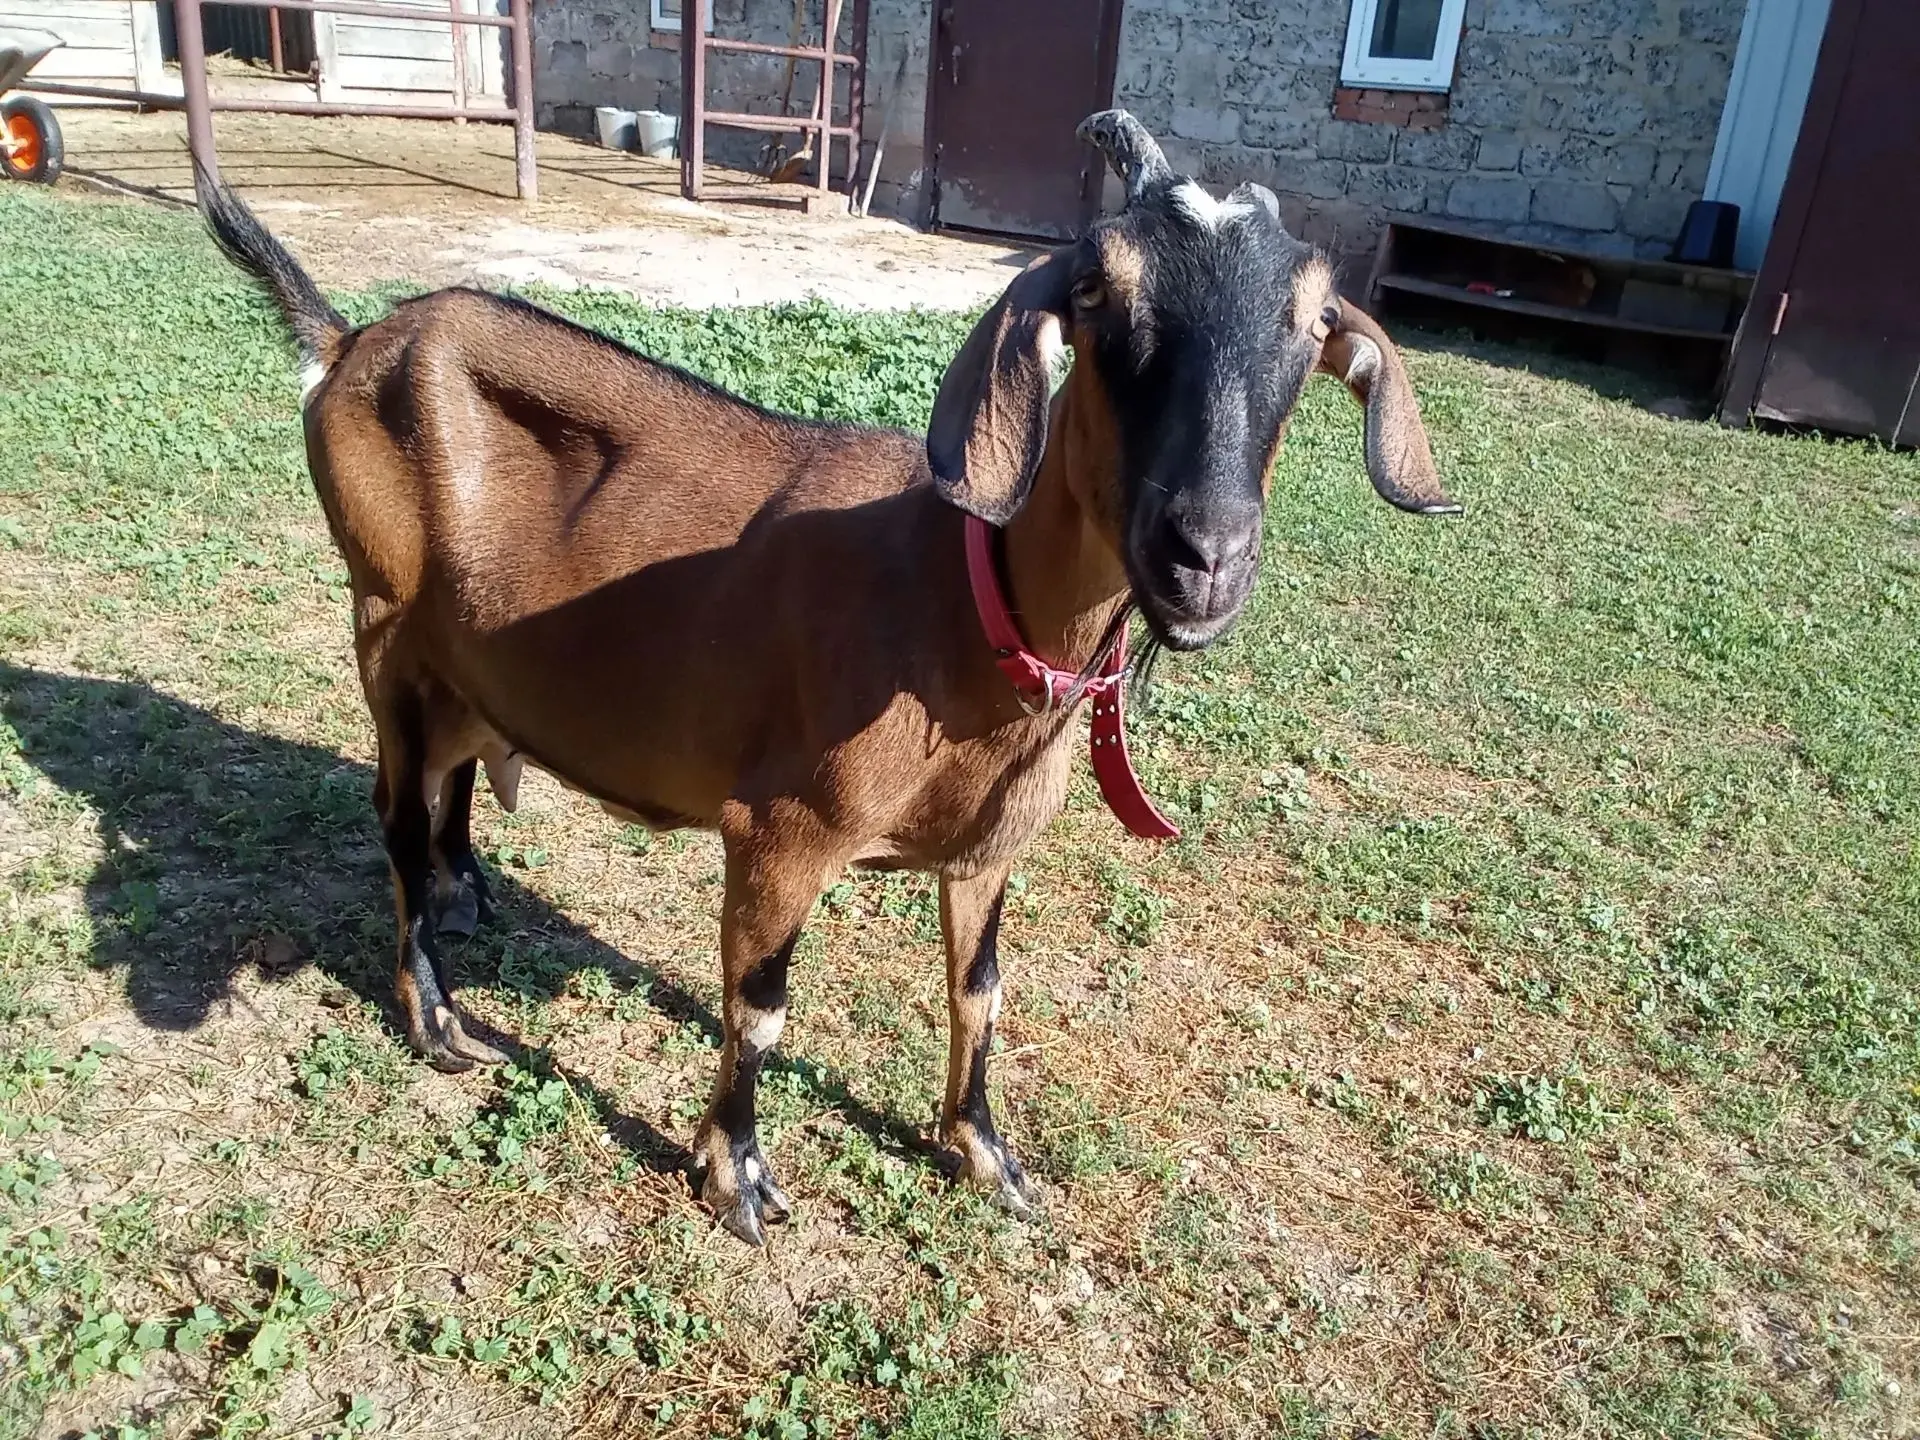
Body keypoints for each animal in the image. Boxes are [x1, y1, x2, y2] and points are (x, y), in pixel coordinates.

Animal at [196, 110, 1458, 1245]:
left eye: (1314, 323)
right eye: (1101, 294)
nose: (1205, 557)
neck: (964, 605)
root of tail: (349, 342)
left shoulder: (990, 849)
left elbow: (981, 989)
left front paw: (985, 1155)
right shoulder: (780, 830)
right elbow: (758, 1011)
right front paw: (736, 1179)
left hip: (460, 659)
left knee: (449, 778)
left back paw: (467, 893)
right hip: (385, 628)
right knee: (394, 816)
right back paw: (438, 1017)